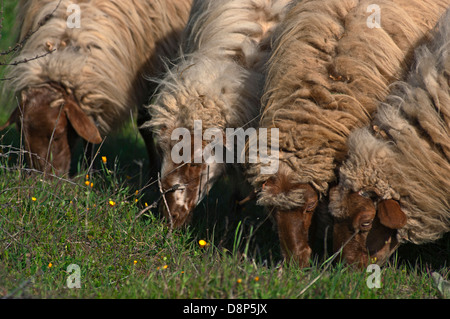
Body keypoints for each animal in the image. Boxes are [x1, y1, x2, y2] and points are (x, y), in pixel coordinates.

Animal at [0, 0, 192, 178]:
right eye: (22, 134)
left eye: (58, 134)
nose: (43, 181)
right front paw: (87, 173)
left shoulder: (151, 71)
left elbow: (144, 124)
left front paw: (153, 172)